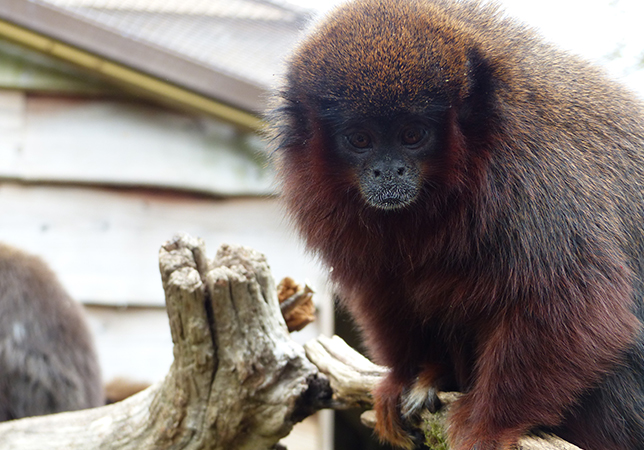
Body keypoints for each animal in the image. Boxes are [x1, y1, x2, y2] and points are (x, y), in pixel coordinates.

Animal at [269, 0, 644, 449]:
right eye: (360, 140)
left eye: (412, 135)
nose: (387, 171)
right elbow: (386, 289)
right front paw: (412, 376)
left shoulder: (534, 172)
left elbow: (579, 300)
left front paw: (488, 424)